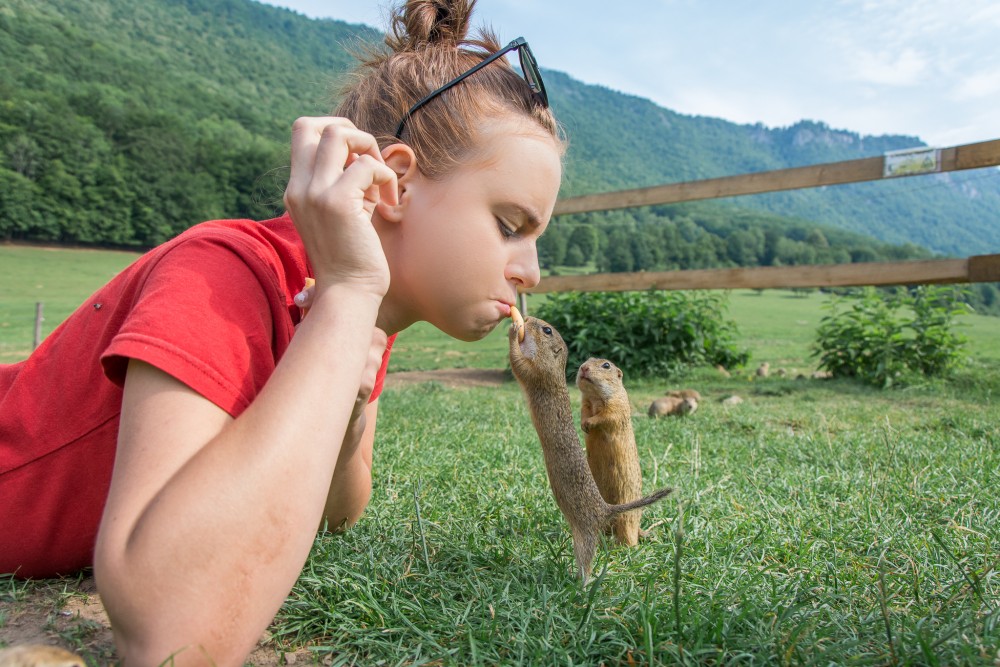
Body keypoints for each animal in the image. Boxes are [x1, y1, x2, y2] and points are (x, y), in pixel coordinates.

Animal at [576, 360, 644, 548]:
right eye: (587, 359)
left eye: (606, 365)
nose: (583, 367)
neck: (595, 397)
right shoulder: (585, 403)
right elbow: (584, 412)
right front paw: (583, 424)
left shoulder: (618, 404)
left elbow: (607, 416)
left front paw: (589, 423)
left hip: (627, 516)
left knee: (628, 534)